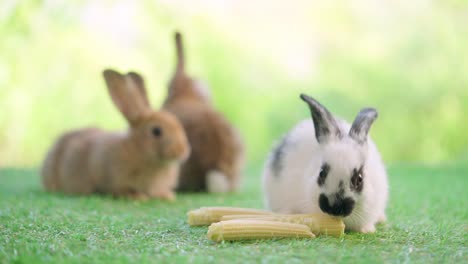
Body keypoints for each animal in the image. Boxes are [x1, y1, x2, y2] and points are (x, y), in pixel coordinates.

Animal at [40, 69, 190, 199]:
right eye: (156, 131)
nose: (182, 151)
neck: (138, 150)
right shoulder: (114, 178)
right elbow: (122, 189)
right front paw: (138, 197)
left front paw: (167, 196)